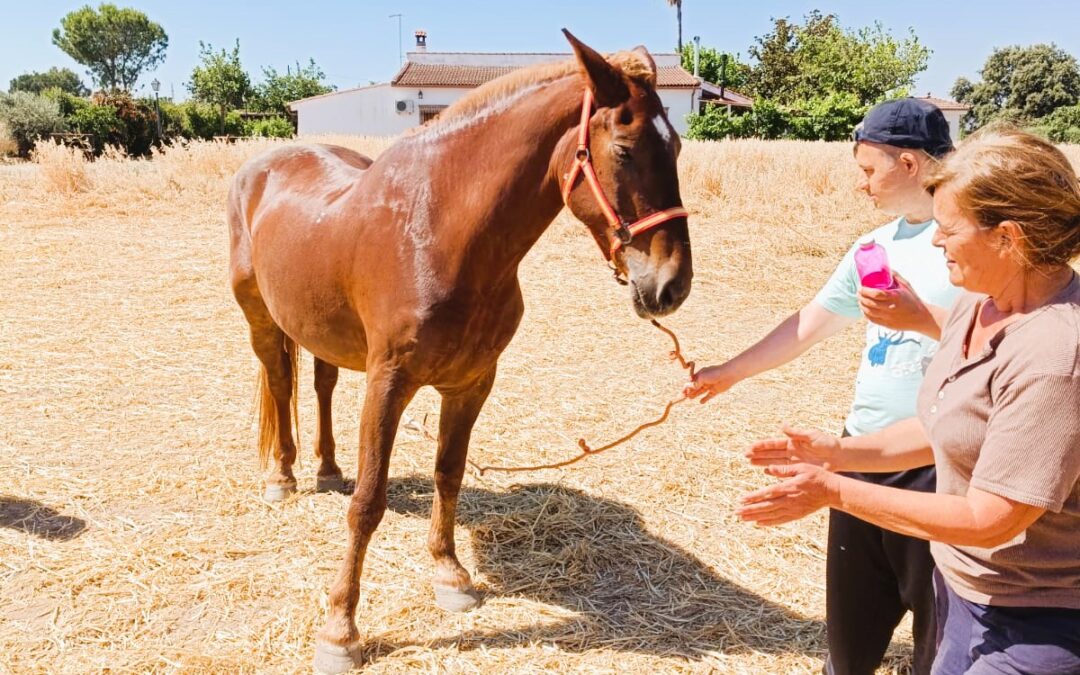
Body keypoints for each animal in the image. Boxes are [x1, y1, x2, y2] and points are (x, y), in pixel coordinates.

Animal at [230, 30, 691, 669]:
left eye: (676, 148)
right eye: (624, 150)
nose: (672, 285)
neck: (441, 233)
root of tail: (262, 166)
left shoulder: (472, 383)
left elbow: (448, 474)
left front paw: (450, 576)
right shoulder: (389, 383)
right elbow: (368, 503)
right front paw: (340, 630)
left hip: (320, 325)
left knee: (321, 384)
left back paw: (326, 469)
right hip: (260, 317)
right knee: (279, 379)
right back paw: (283, 477)